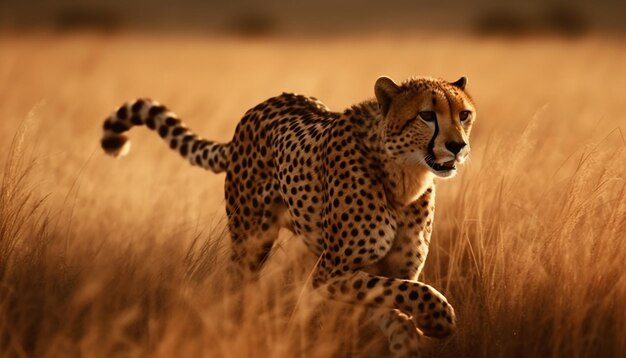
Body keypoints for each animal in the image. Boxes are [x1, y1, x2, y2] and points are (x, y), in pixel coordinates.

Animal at [101, 75, 472, 356]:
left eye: (464, 114)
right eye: (427, 115)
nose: (457, 146)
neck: (405, 176)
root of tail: (259, 107)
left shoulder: (391, 272)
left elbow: (399, 303)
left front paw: (417, 331)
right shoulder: (330, 274)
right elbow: (414, 293)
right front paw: (439, 319)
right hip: (250, 244)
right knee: (237, 287)